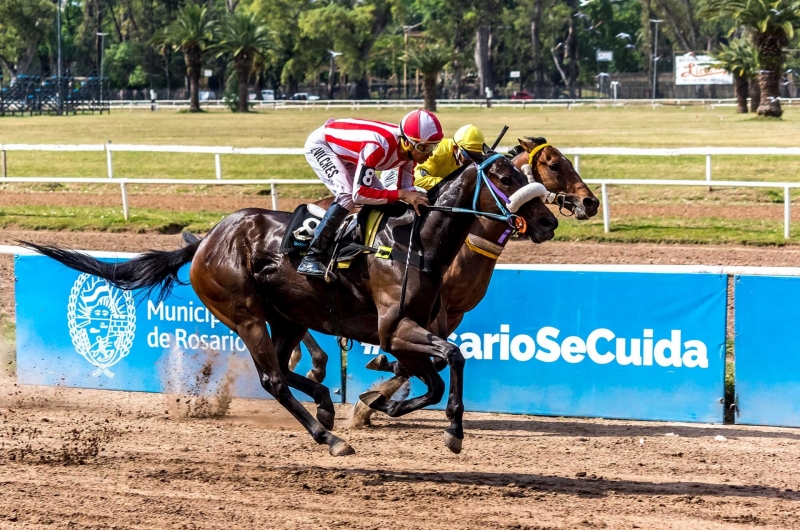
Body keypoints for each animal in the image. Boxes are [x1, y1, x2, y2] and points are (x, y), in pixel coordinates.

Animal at [23, 152, 556, 454]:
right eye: (505, 175)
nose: (547, 220)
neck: (415, 242)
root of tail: (205, 241)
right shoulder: (395, 330)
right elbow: (453, 357)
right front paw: (450, 429)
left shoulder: (404, 335)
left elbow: (436, 376)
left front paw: (387, 407)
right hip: (246, 314)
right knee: (273, 378)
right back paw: (329, 437)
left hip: (289, 317)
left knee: (286, 367)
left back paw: (325, 406)